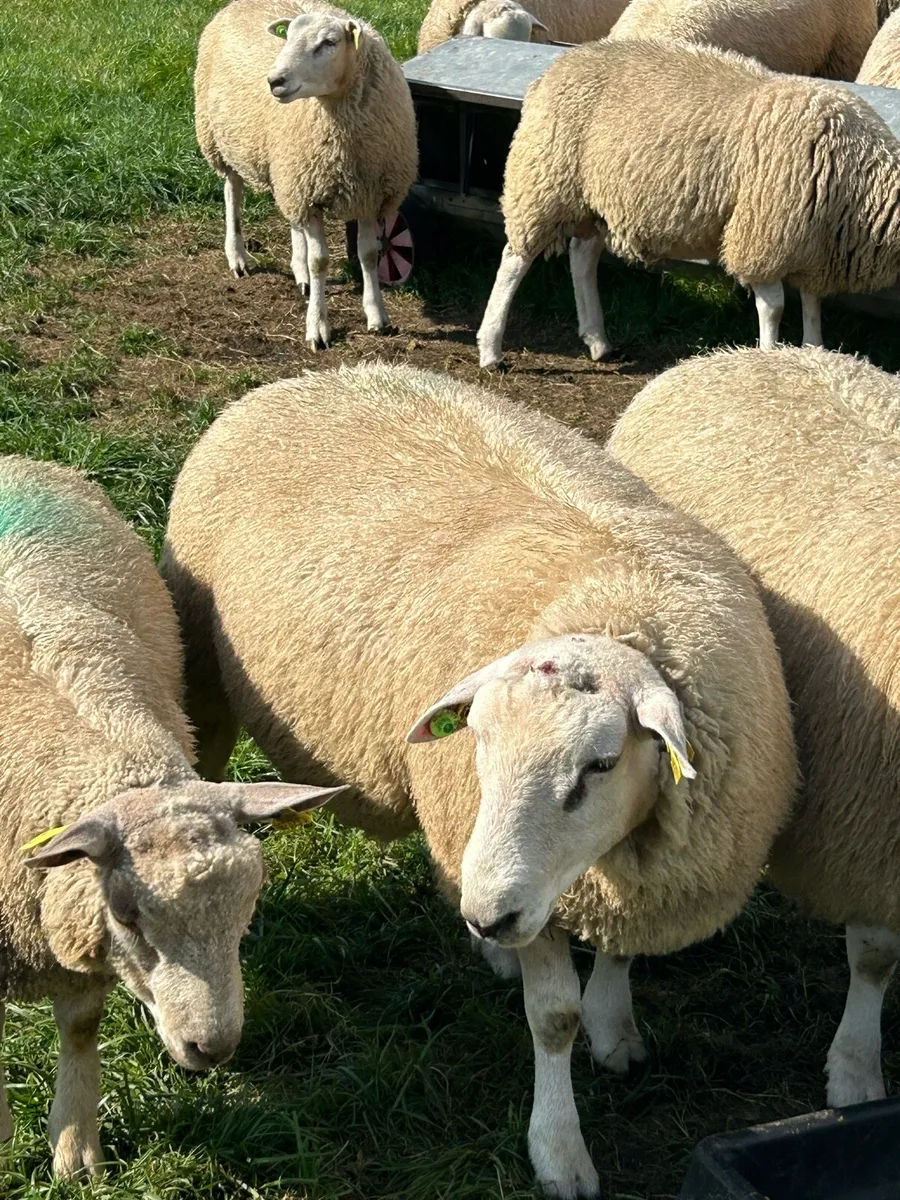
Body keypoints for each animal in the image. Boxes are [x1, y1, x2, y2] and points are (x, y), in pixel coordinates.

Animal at [160, 362, 795, 1199]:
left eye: (602, 763)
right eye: (478, 742)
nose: (490, 916)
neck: (619, 595)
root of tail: (304, 378)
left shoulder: (635, 876)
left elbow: (619, 955)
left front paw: (614, 1026)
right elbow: (552, 1020)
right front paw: (559, 1150)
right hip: (203, 675)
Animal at [195, 0, 417, 350]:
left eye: (329, 42)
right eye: (288, 37)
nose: (275, 81)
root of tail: (238, 4)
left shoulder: (367, 193)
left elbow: (369, 254)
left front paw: (377, 315)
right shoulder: (310, 195)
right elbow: (320, 262)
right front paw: (318, 327)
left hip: (288, 171)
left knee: (291, 220)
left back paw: (300, 274)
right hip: (220, 138)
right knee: (233, 193)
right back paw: (238, 256)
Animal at [477, 38, 900, 368]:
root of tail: (557, 66)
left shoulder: (812, 247)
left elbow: (812, 307)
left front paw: (815, 355)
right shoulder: (760, 236)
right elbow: (775, 307)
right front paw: (769, 360)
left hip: (597, 197)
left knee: (583, 256)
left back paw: (598, 340)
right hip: (544, 181)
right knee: (514, 261)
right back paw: (491, 348)